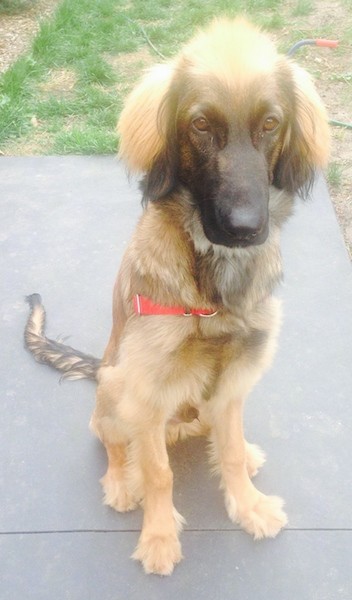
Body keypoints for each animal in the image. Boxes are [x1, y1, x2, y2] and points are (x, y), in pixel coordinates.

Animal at [24, 18, 330, 576]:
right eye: (201, 125)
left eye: (271, 123)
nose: (246, 228)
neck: (212, 285)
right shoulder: (146, 389)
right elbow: (159, 475)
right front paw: (160, 537)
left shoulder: (234, 377)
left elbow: (228, 454)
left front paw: (248, 505)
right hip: (115, 385)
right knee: (112, 442)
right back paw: (122, 481)